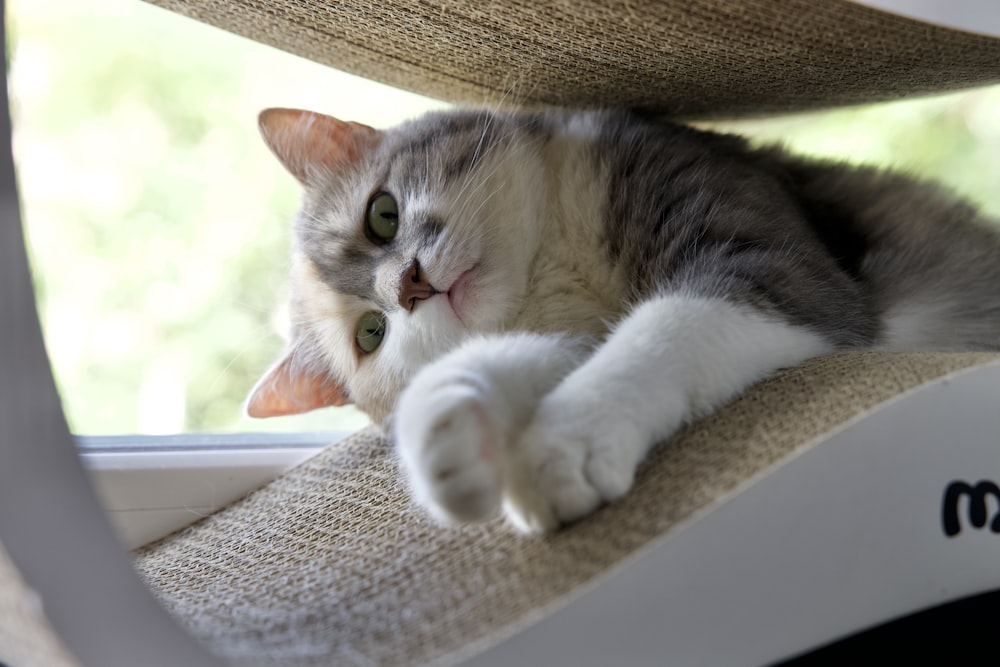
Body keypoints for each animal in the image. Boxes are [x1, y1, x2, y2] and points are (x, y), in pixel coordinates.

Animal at [246, 107, 1000, 536]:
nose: (409, 287)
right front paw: (449, 430)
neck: (558, 262)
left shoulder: (772, 269)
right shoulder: (576, 333)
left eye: (382, 215)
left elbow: (663, 330)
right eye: (369, 335)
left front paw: (565, 441)